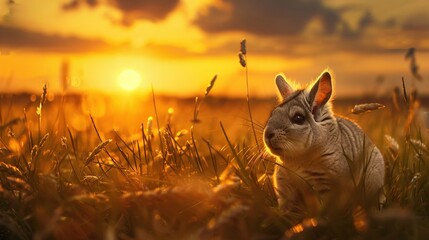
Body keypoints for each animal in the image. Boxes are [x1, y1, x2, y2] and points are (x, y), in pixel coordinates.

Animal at [264, 70, 384, 212]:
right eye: (272, 113)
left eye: (298, 118)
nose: (267, 134)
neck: (297, 161)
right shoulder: (284, 186)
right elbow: (287, 209)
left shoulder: (327, 184)